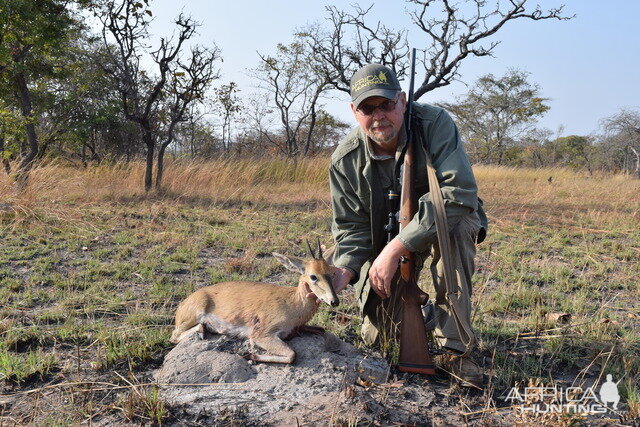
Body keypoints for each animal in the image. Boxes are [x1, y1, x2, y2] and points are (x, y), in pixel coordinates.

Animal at [170, 241, 340, 364]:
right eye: (313, 276)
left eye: (332, 272)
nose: (334, 301)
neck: (292, 303)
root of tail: (182, 305)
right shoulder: (262, 335)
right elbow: (292, 355)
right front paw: (247, 355)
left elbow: (320, 330)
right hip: (193, 316)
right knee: (175, 335)